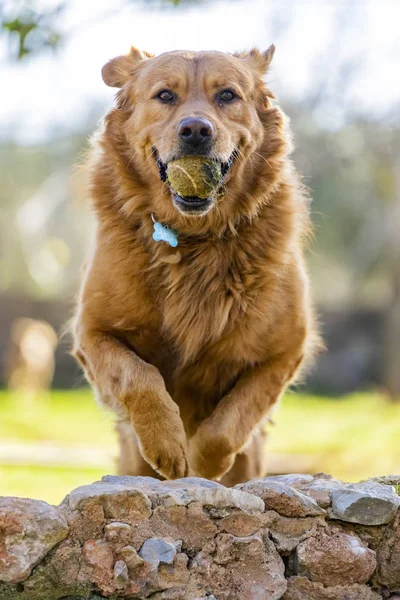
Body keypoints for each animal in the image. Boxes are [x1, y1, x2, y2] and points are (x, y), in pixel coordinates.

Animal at [71, 47, 316, 488]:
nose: (197, 130)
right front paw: (166, 444)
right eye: (165, 95)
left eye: (228, 95)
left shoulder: (284, 353)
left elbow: (233, 417)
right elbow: (138, 376)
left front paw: (203, 463)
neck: (194, 238)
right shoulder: (93, 333)